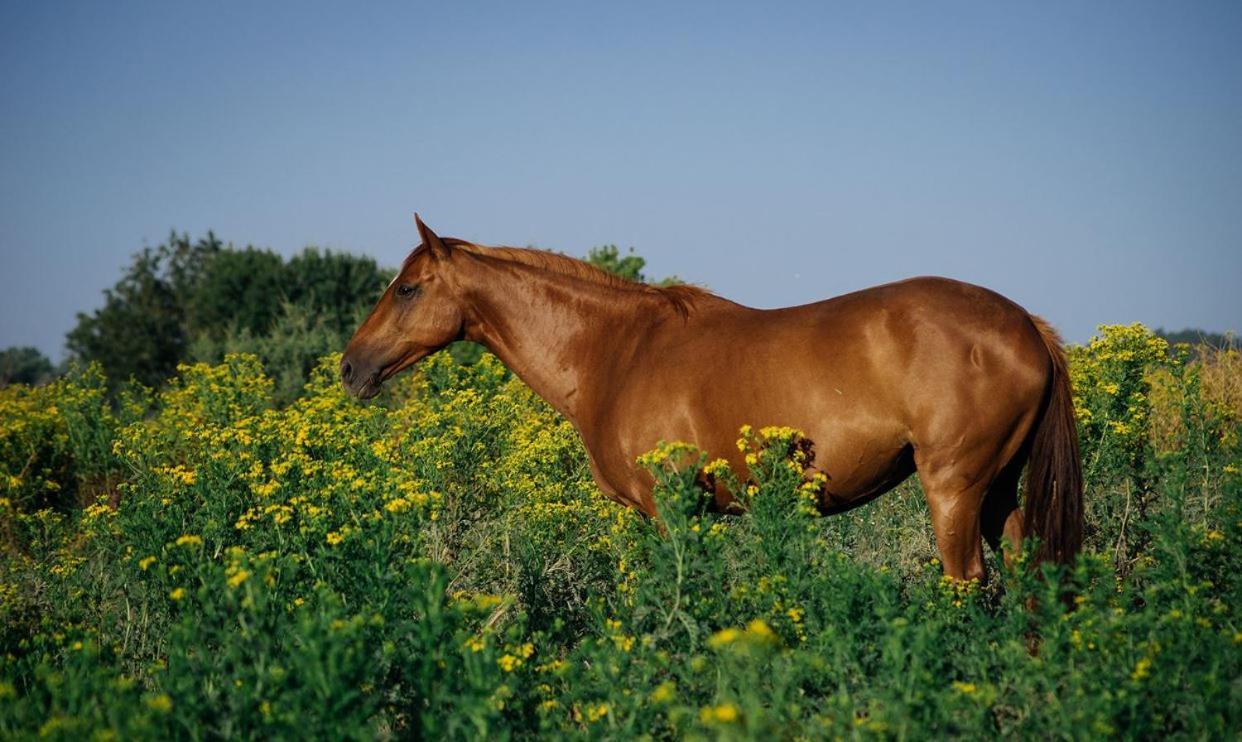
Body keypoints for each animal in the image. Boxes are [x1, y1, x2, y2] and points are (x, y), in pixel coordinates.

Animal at [340, 213, 1078, 579]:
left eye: (407, 288)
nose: (350, 368)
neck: (619, 351)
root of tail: (1026, 325)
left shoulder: (670, 510)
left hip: (954, 488)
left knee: (967, 581)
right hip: (998, 491)